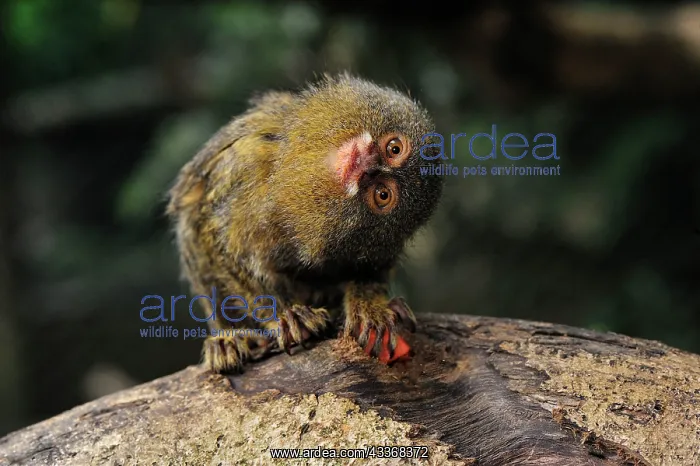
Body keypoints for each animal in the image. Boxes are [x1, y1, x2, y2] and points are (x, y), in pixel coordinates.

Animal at [166, 73, 444, 373]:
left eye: (382, 195)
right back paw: (228, 339)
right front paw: (286, 314)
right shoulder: (243, 161)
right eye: (394, 148)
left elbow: (372, 269)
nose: (368, 169)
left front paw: (369, 306)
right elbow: (213, 236)